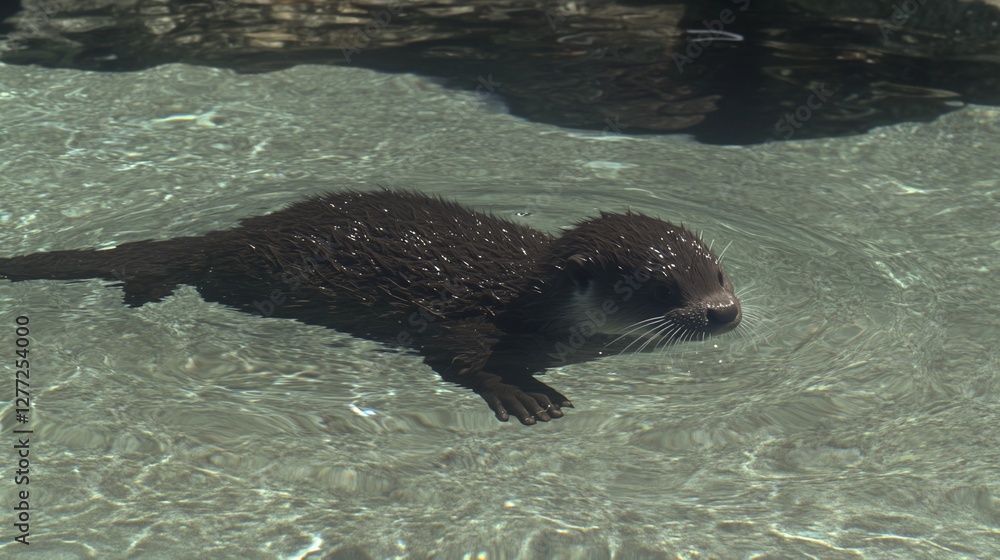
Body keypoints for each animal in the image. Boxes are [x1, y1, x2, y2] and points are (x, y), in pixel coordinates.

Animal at [0, 190, 741, 425]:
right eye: (660, 289)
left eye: (717, 273)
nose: (724, 312)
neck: (532, 301)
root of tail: (236, 234)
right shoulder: (472, 319)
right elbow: (456, 356)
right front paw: (525, 392)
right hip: (244, 274)